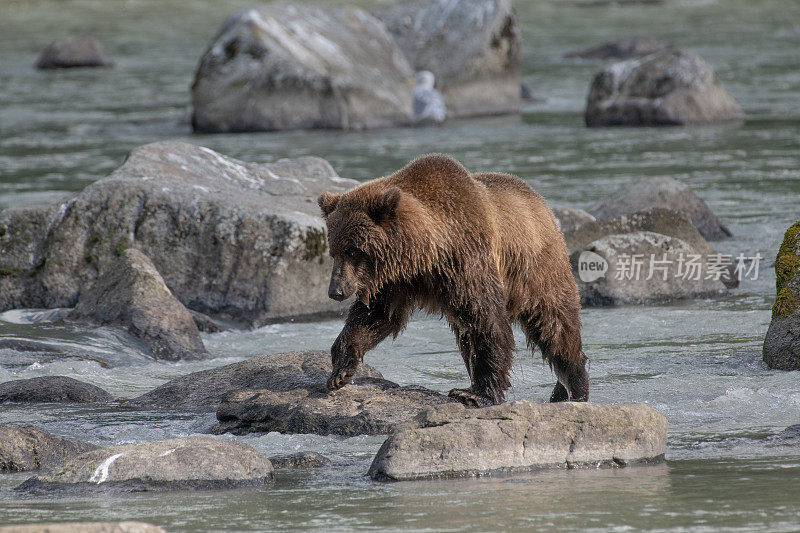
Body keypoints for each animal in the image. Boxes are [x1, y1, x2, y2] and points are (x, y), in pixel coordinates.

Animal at [318, 155, 588, 408]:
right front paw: (340, 370)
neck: (426, 251)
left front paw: (477, 394)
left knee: (555, 324)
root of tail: (541, 202)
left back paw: (576, 386)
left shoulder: (466, 260)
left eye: (353, 251)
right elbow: (376, 316)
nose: (336, 291)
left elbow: (485, 320)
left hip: (536, 269)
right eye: (334, 252)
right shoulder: (396, 279)